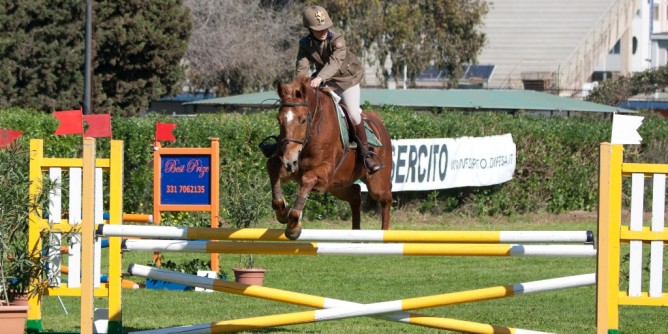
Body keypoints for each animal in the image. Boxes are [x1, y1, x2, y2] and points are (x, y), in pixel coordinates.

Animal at [264, 75, 392, 240]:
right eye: (279, 120)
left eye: (303, 120)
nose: (289, 161)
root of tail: (378, 122)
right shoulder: (292, 169)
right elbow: (272, 165)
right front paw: (282, 211)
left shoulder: (324, 173)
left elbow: (307, 179)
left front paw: (293, 226)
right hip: (337, 185)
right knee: (355, 194)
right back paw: (356, 234)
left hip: (376, 184)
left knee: (386, 199)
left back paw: (386, 233)